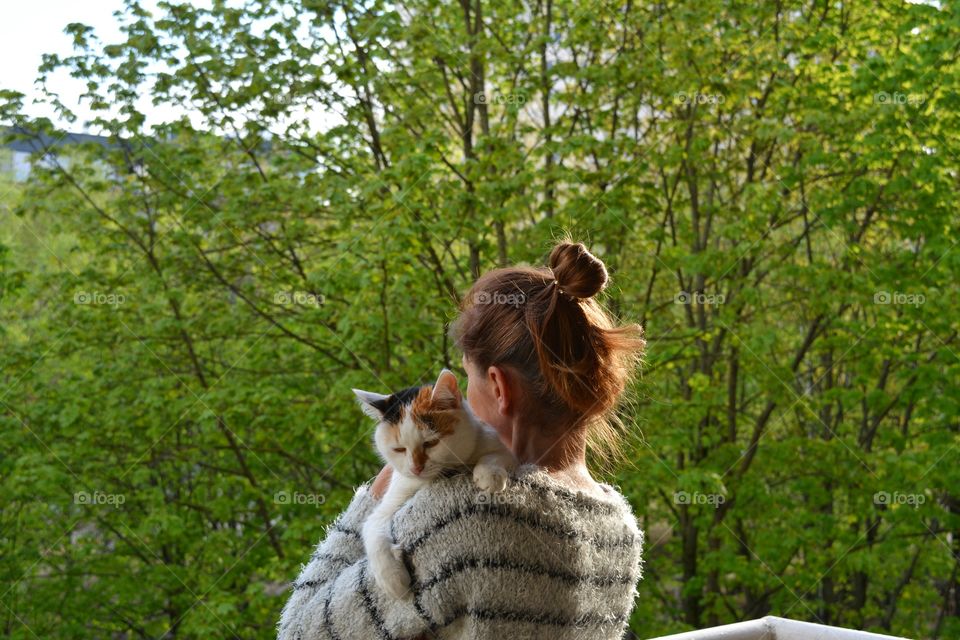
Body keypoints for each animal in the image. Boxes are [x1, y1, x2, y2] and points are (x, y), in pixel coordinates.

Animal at [352, 370, 516, 600]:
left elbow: (495, 456)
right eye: (399, 449)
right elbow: (373, 526)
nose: (416, 468)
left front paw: (489, 475)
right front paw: (393, 581)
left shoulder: (501, 447)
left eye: (430, 443)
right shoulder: (392, 499)